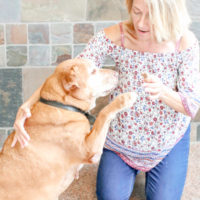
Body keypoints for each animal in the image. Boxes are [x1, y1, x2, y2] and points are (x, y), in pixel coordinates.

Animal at [0, 58, 138, 200]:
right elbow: (103, 113)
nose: (117, 73)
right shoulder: (90, 149)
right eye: (93, 71)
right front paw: (125, 98)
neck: (62, 105)